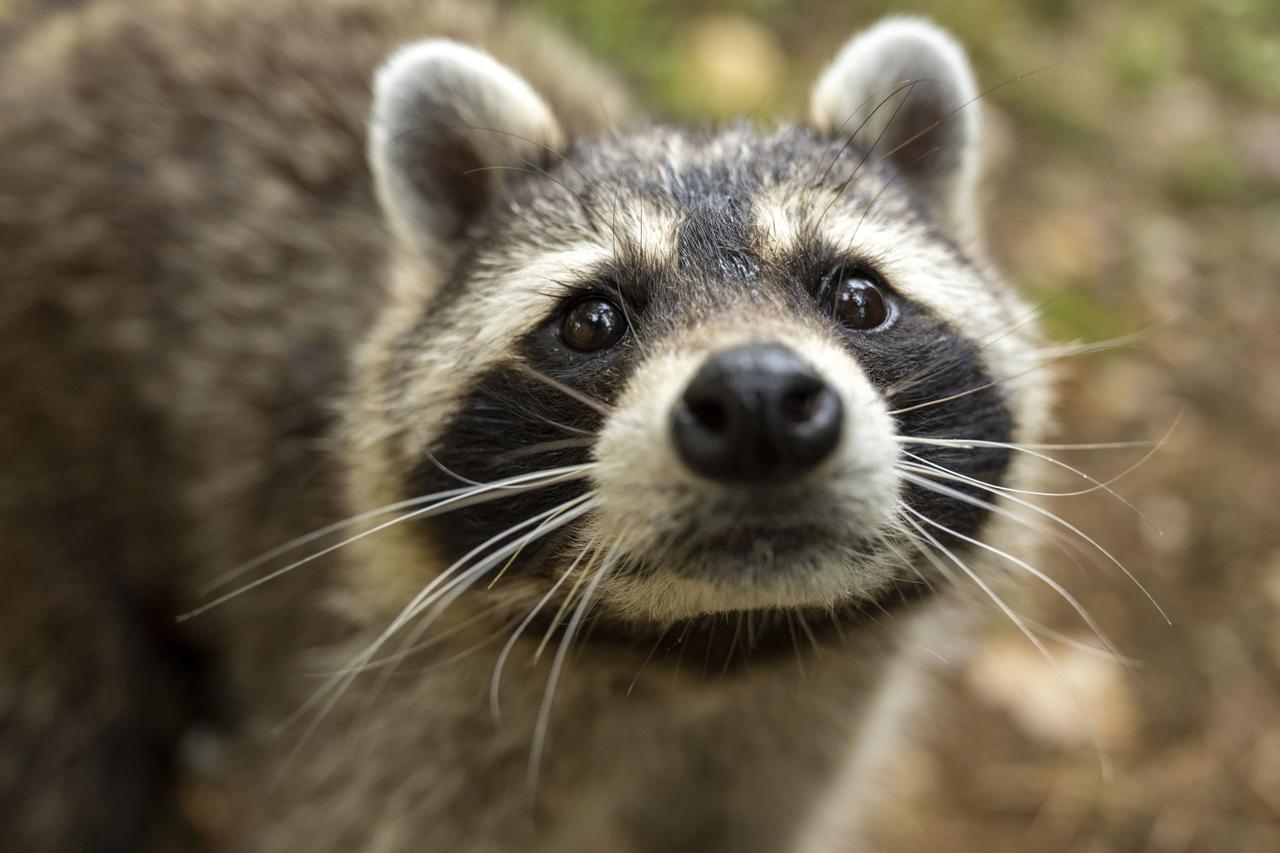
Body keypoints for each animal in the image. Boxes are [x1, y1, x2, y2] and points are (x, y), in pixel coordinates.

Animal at [0, 1, 1054, 850]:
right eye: (591, 320)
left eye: (858, 297)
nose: (757, 399)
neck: (706, 658)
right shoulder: (382, 743)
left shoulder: (776, 763)